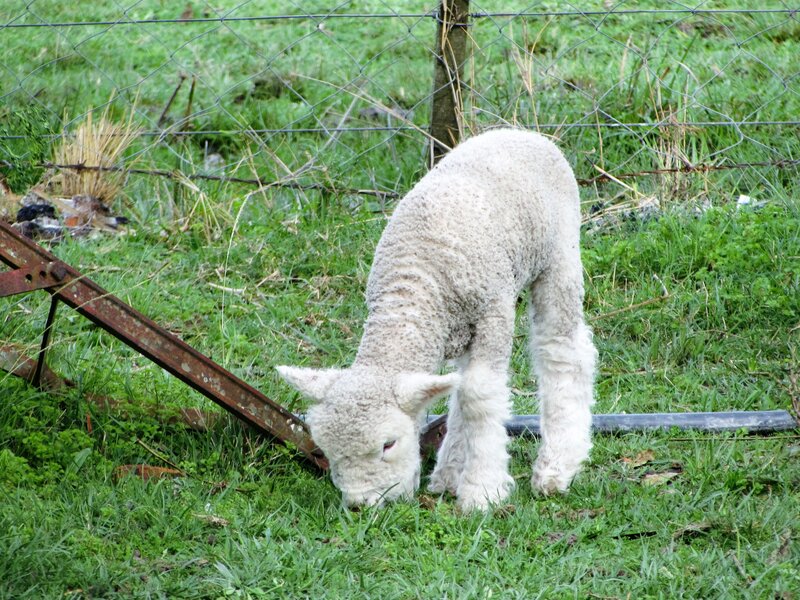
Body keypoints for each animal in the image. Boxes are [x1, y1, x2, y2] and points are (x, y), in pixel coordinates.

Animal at [277, 128, 597, 512]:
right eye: (326, 449)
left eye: (388, 444)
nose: (359, 505)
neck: (414, 288)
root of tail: (519, 132)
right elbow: (463, 392)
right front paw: (461, 476)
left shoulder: (493, 312)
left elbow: (479, 395)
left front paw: (482, 490)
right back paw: (449, 473)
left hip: (558, 256)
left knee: (562, 349)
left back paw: (557, 466)